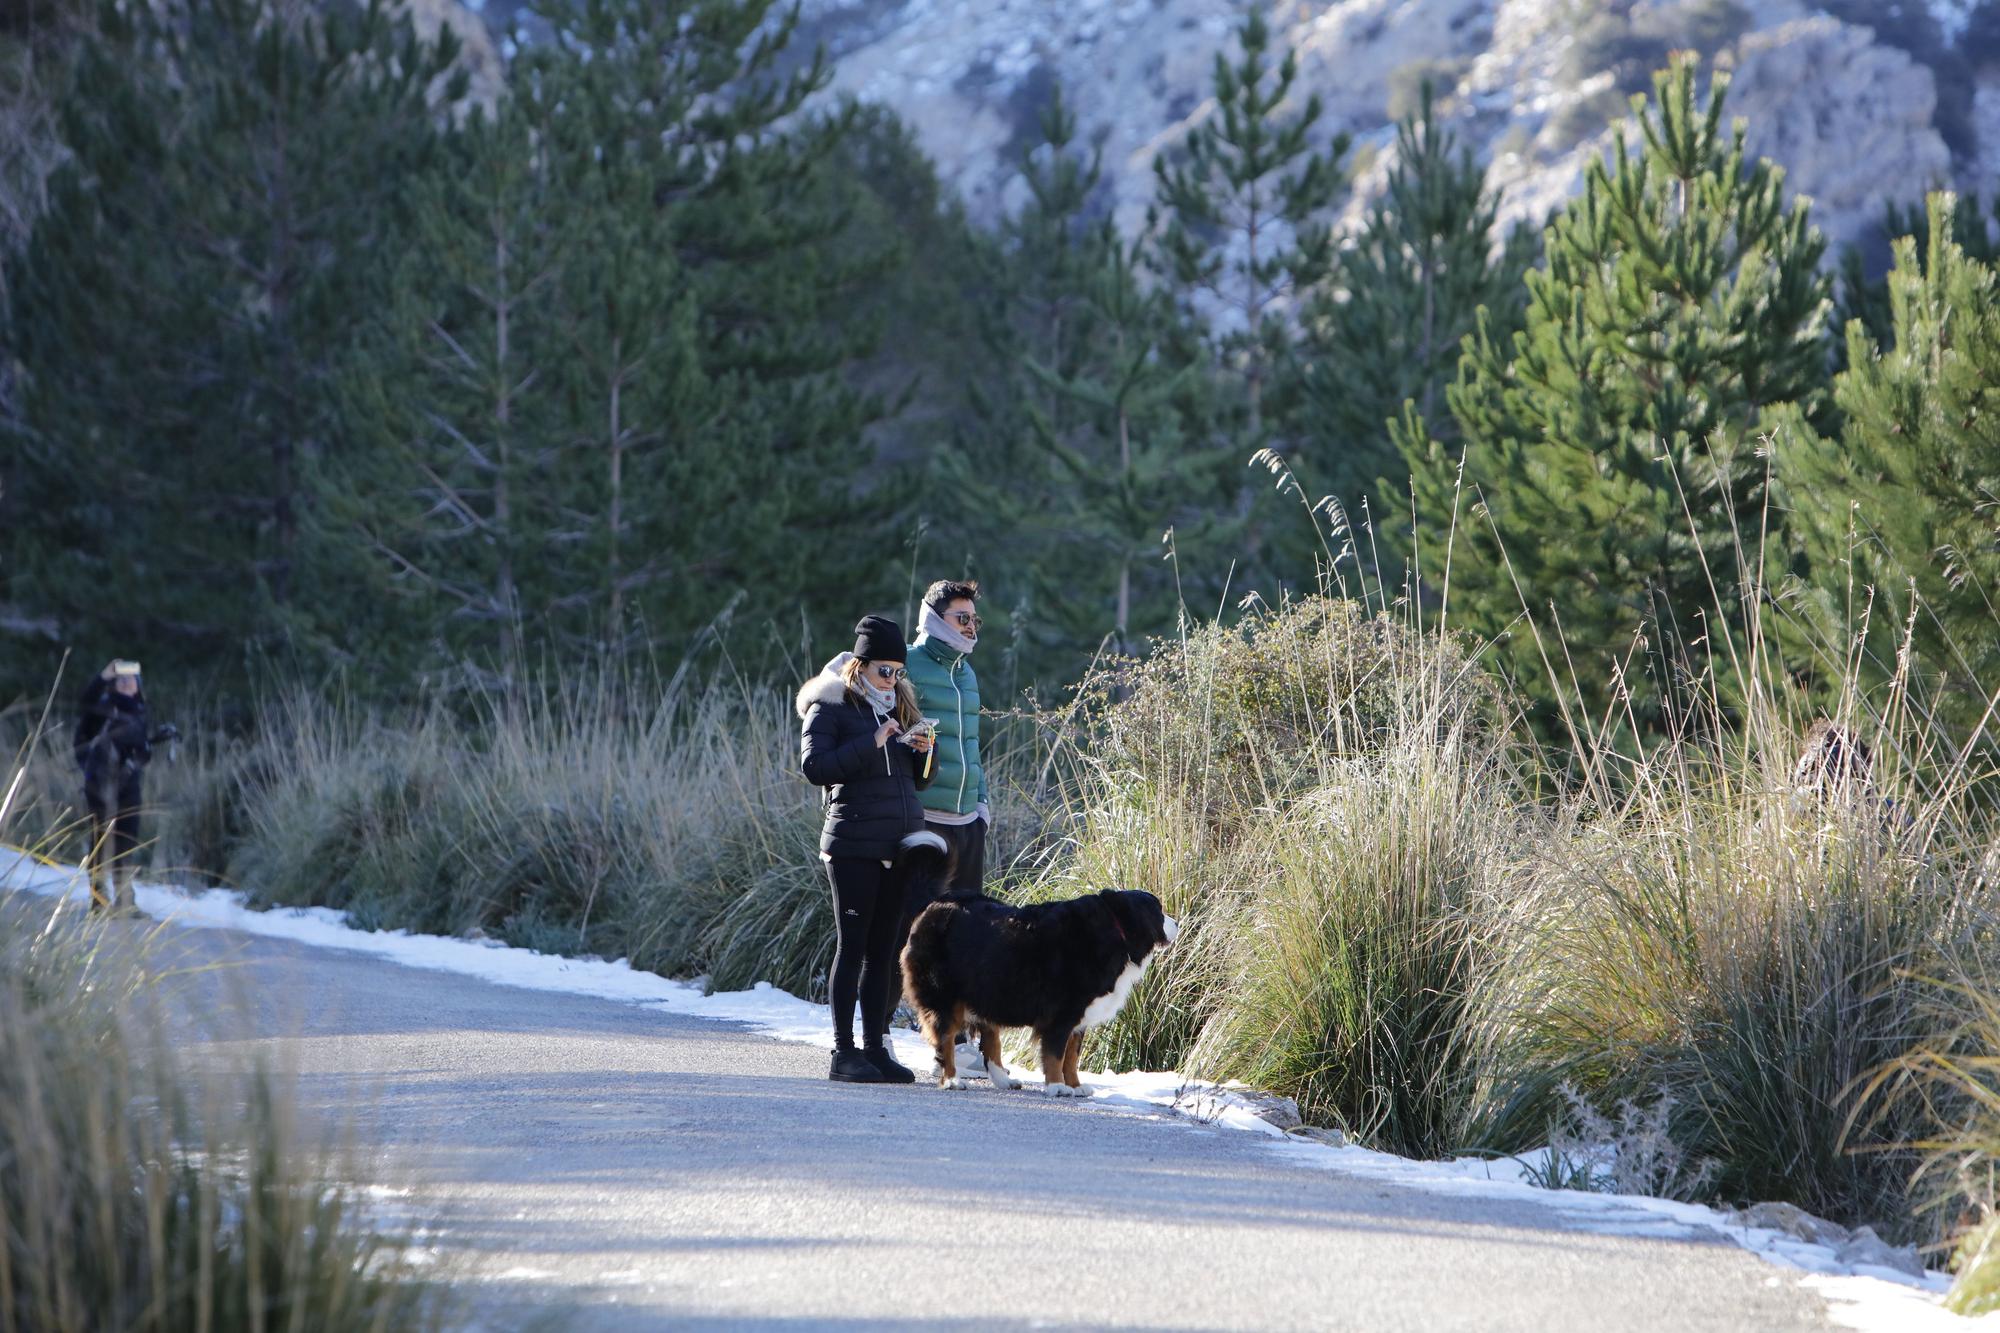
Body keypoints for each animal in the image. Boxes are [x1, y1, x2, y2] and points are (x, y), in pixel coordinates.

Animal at [900, 840, 1176, 1088]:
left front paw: (1075, 1086)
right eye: (1159, 911)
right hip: (944, 996)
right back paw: (951, 1080)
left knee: (991, 1040)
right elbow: (1056, 1055)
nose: (1177, 923)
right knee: (946, 1039)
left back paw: (1003, 1080)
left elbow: (1071, 1057)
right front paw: (1057, 1087)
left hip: (987, 989)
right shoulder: (1061, 1013)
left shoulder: (1079, 1018)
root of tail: (935, 904)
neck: (1115, 929)